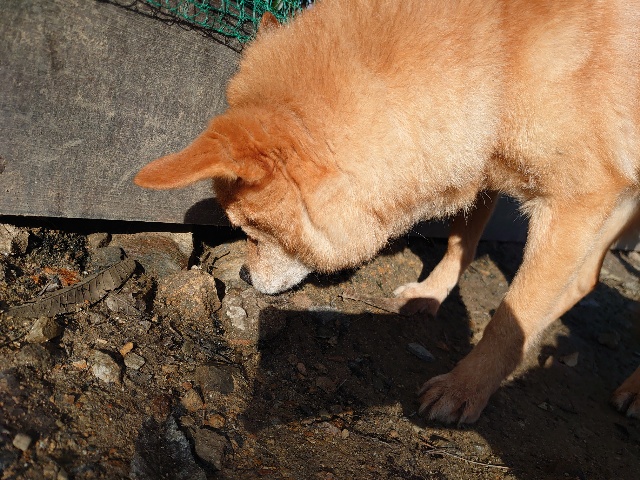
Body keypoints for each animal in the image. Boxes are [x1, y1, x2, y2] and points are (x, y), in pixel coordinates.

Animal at [135, 0, 640, 424]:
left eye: (253, 228)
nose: (241, 275)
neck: (499, 53)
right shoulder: (481, 164)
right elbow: (460, 245)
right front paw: (431, 294)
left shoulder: (579, 200)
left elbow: (509, 318)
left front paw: (466, 388)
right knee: (585, 278)